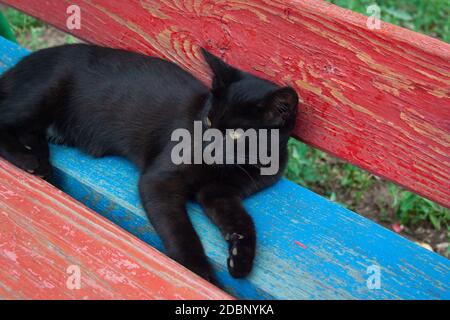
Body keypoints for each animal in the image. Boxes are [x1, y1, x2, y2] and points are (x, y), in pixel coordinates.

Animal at [0, 43, 298, 282]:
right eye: (208, 121)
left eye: (236, 135)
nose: (204, 146)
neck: (232, 166)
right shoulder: (159, 181)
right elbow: (180, 230)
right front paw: (200, 273)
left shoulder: (220, 192)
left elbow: (242, 220)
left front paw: (240, 256)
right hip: (43, 92)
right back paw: (28, 160)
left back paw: (42, 162)